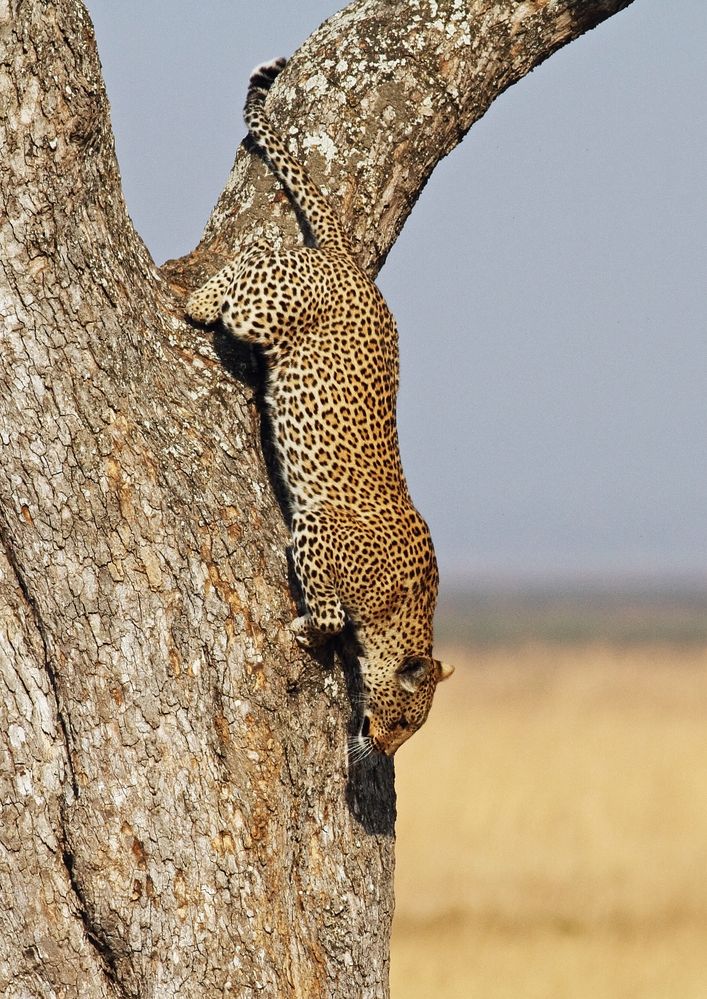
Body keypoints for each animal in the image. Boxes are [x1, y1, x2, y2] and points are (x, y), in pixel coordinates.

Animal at [187, 56, 454, 756]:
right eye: (401, 721)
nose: (381, 748)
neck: (403, 609)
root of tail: (352, 265)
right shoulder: (315, 527)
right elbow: (333, 615)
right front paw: (308, 629)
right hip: (264, 309)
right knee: (251, 263)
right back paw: (203, 294)